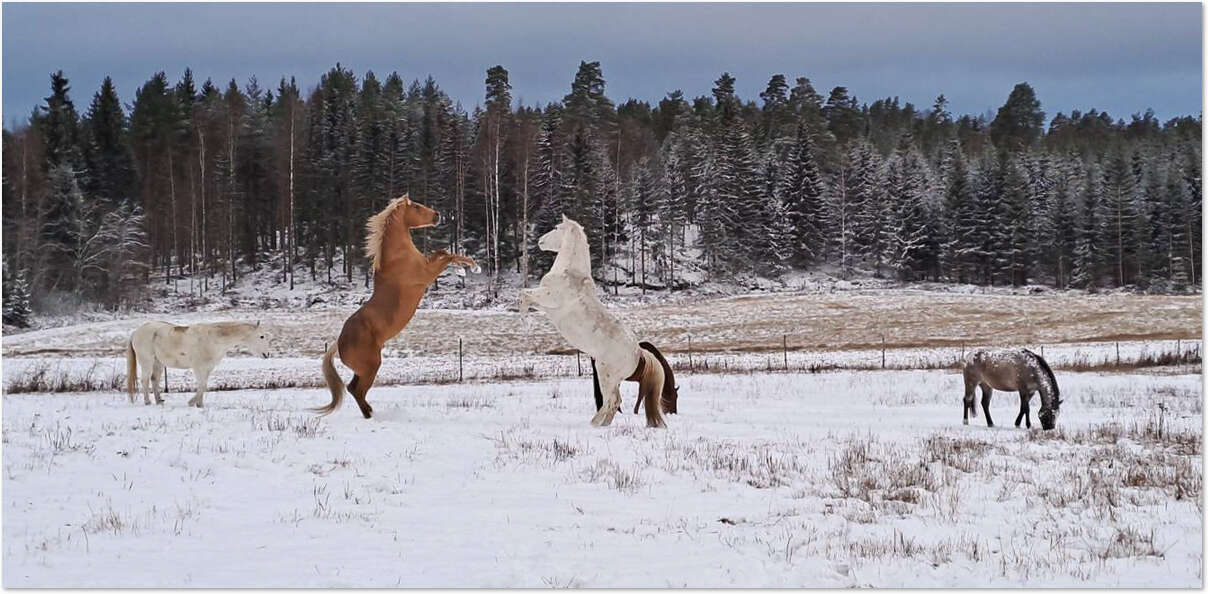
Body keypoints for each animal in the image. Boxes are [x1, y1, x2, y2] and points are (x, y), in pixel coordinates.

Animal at [125, 321, 271, 408]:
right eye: (261, 336)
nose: (267, 354)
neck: (213, 339)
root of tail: (136, 332)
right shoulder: (198, 367)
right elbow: (202, 385)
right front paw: (192, 402)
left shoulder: (208, 368)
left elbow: (203, 386)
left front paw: (199, 404)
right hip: (147, 361)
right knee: (145, 380)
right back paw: (147, 402)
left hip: (158, 363)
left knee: (154, 380)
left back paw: (159, 401)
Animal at [311, 194, 475, 417]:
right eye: (416, 207)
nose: (437, 215)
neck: (398, 257)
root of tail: (339, 342)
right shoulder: (427, 274)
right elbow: (447, 256)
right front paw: (469, 267)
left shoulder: (428, 264)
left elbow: (442, 251)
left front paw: (467, 265)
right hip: (371, 366)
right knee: (356, 389)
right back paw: (369, 414)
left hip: (363, 369)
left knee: (353, 387)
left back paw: (369, 411)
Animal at [519, 216, 671, 429]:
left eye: (556, 228)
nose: (540, 241)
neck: (569, 273)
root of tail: (639, 354)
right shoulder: (544, 305)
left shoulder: (547, 298)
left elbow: (523, 295)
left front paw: (524, 324)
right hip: (612, 379)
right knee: (615, 401)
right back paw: (601, 424)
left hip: (604, 373)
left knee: (612, 401)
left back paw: (594, 424)